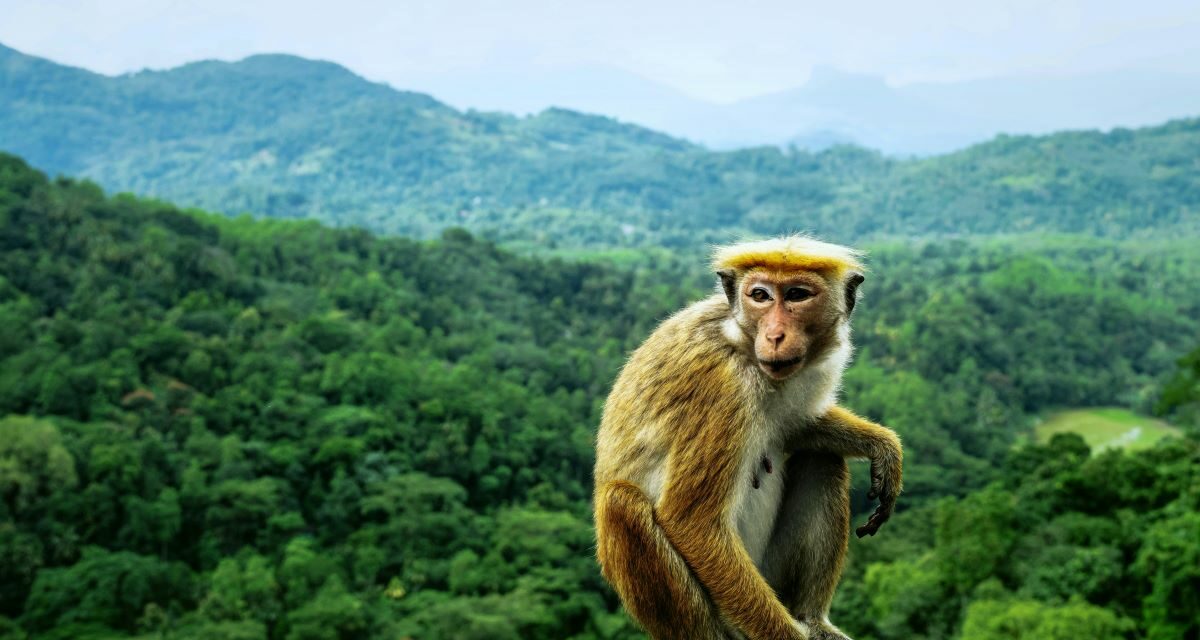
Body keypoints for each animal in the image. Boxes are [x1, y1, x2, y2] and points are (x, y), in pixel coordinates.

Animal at [593, 235, 902, 640]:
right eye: (760, 295)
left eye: (797, 295)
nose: (774, 336)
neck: (739, 337)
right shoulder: (724, 388)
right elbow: (693, 524)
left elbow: (795, 427)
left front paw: (882, 444)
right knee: (621, 502)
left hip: (768, 576)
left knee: (822, 459)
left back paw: (812, 619)